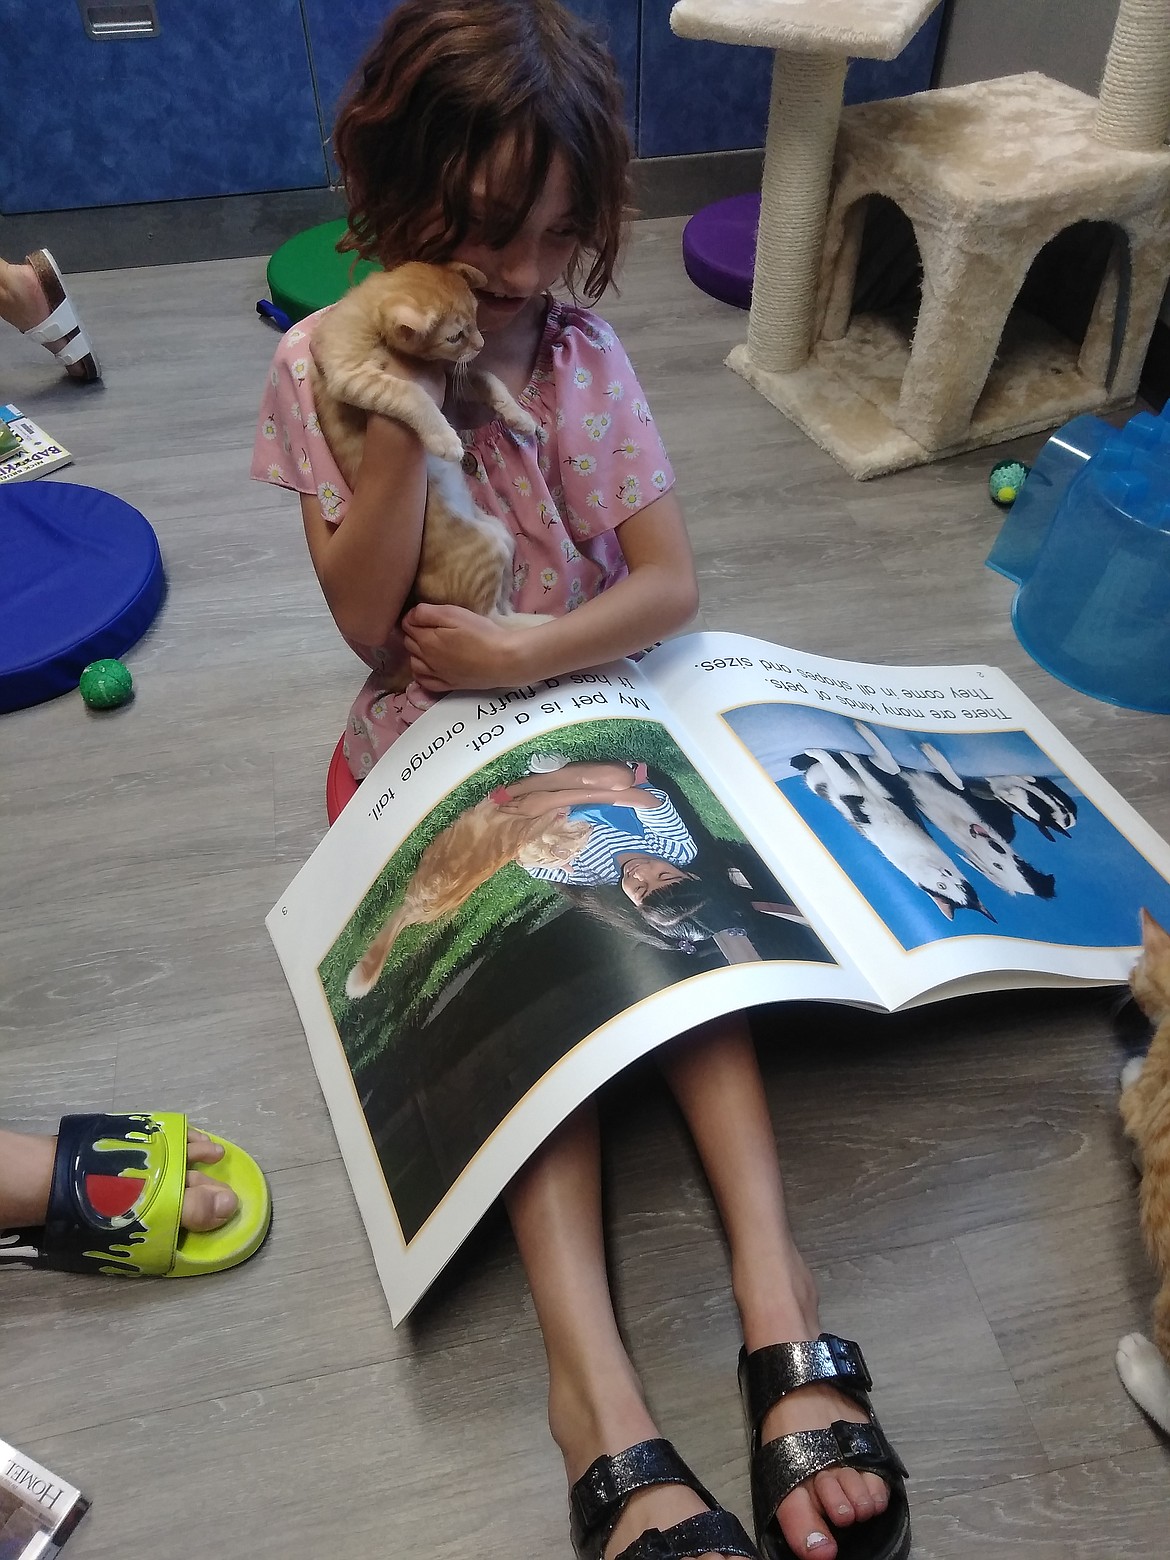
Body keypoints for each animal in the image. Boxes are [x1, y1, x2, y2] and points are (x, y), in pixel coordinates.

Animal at [308, 262, 552, 689]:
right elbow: (412, 395)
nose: (480, 344)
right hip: (487, 550)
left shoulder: (453, 378)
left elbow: (489, 379)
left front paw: (520, 418)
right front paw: (443, 438)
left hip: (500, 537)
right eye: (455, 336)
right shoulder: (353, 376)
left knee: (496, 615)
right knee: (486, 622)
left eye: (476, 318)